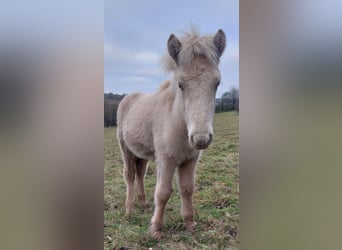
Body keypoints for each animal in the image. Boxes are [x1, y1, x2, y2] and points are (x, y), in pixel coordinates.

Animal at [116, 28, 226, 239]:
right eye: (181, 85)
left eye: (217, 83)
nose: (200, 139)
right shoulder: (166, 160)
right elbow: (163, 192)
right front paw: (156, 229)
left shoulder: (189, 160)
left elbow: (187, 189)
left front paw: (190, 224)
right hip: (126, 149)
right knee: (130, 175)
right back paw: (129, 210)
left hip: (142, 152)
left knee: (140, 172)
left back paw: (143, 203)